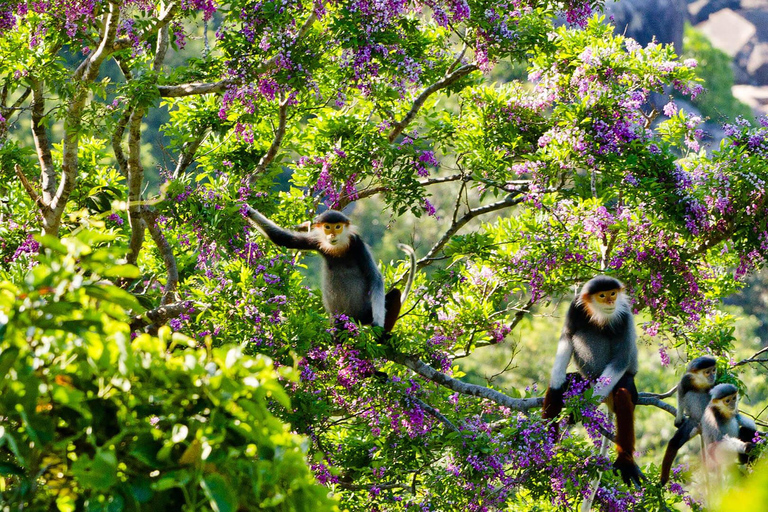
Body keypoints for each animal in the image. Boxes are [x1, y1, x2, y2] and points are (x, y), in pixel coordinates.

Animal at [244, 208, 414, 332]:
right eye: (327, 227)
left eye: (338, 227)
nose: (332, 235)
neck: (338, 248)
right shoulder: (317, 241)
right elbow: (282, 238)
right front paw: (248, 209)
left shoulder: (357, 244)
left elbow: (375, 278)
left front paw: (378, 323)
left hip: (366, 312)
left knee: (395, 294)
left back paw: (383, 339)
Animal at [544, 276, 644, 488]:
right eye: (602, 295)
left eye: (612, 293)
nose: (611, 301)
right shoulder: (574, 308)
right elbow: (567, 337)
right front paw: (557, 386)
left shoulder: (624, 317)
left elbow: (621, 360)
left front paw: (582, 408)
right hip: (584, 381)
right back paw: (546, 442)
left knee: (623, 394)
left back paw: (625, 461)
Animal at [656, 356, 716, 484]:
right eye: (707, 372)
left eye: (714, 370)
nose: (713, 376)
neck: (700, 381)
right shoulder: (686, 379)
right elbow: (681, 392)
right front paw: (678, 420)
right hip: (693, 422)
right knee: (674, 442)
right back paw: (663, 480)